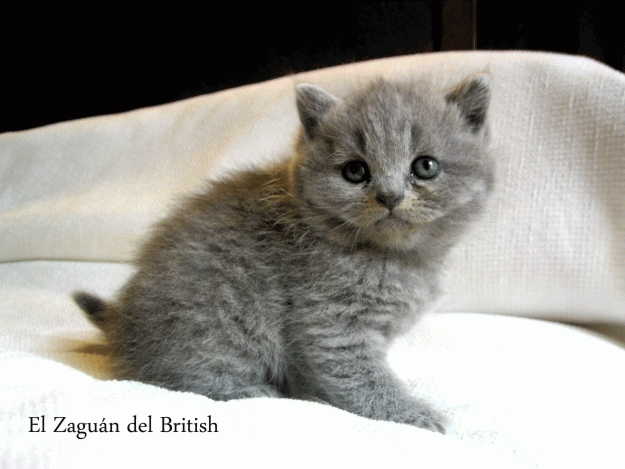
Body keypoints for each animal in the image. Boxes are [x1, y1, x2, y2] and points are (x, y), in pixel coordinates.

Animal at [74, 74, 492, 432]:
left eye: (425, 166)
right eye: (355, 171)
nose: (389, 196)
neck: (394, 257)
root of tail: (123, 324)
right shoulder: (330, 320)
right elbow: (358, 375)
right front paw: (412, 413)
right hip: (219, 319)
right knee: (178, 377)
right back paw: (255, 392)